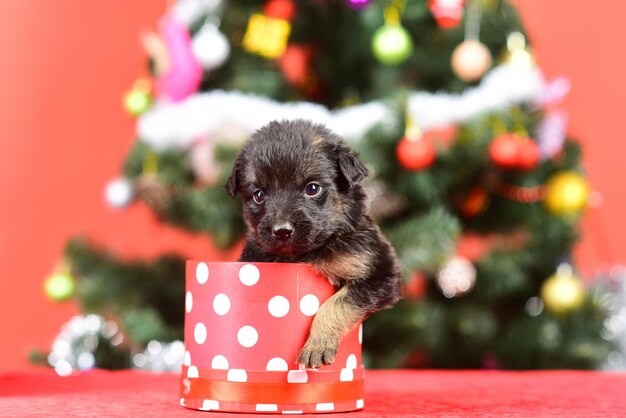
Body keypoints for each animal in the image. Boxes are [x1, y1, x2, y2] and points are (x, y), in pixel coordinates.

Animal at [224, 119, 400, 368]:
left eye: (312, 188)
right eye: (258, 195)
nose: (282, 231)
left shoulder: (380, 272)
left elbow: (337, 304)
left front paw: (317, 345)